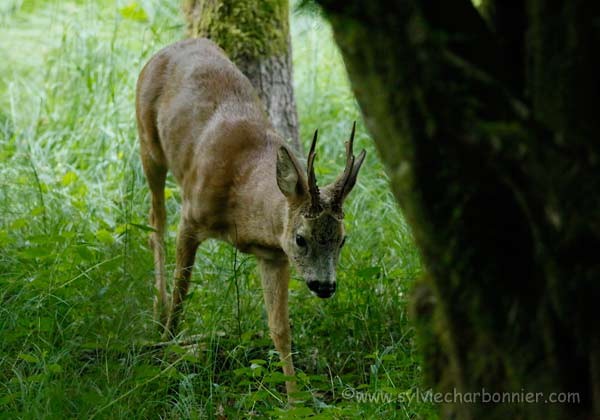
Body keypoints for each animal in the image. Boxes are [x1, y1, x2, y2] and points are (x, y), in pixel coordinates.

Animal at [136, 37, 366, 396]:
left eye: (342, 240)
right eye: (301, 238)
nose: (325, 285)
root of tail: (169, 47)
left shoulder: (274, 256)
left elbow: (280, 328)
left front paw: (294, 398)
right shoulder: (191, 217)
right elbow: (181, 288)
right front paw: (168, 344)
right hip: (148, 142)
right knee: (155, 222)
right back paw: (159, 312)